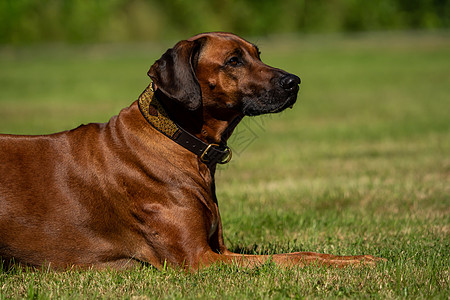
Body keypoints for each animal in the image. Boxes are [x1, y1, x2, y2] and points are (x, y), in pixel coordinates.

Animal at [0, 32, 384, 270]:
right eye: (233, 61)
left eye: (258, 54)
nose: (295, 82)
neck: (178, 140)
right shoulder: (200, 259)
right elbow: (290, 258)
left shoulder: (220, 249)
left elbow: (303, 250)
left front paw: (360, 258)